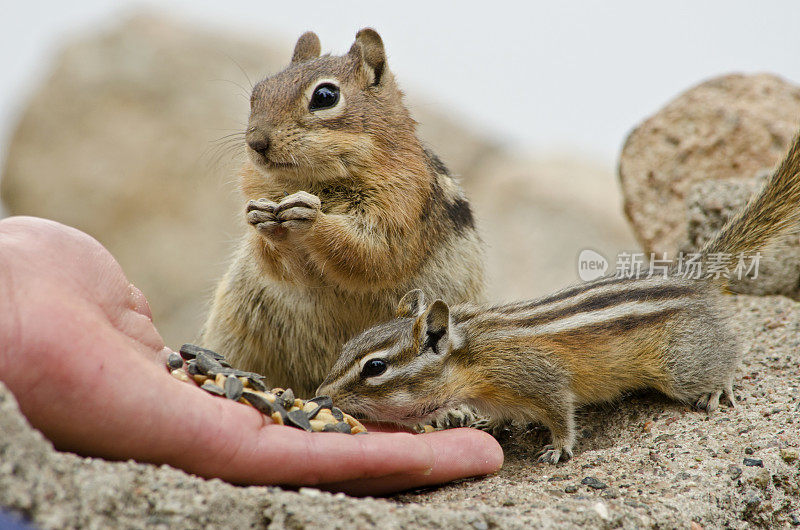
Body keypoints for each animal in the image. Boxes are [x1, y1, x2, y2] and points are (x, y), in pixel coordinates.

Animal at [200, 26, 488, 394]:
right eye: (257, 93)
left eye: (325, 96)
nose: (256, 142)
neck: (316, 182)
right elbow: (284, 267)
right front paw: (261, 220)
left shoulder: (399, 209)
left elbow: (368, 254)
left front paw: (313, 220)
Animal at [318, 130, 800, 460]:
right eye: (346, 348)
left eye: (375, 367)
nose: (322, 397)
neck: (471, 357)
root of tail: (690, 275)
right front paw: (487, 423)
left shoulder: (541, 379)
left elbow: (561, 412)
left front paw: (558, 447)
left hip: (681, 364)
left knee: (727, 352)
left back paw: (718, 386)